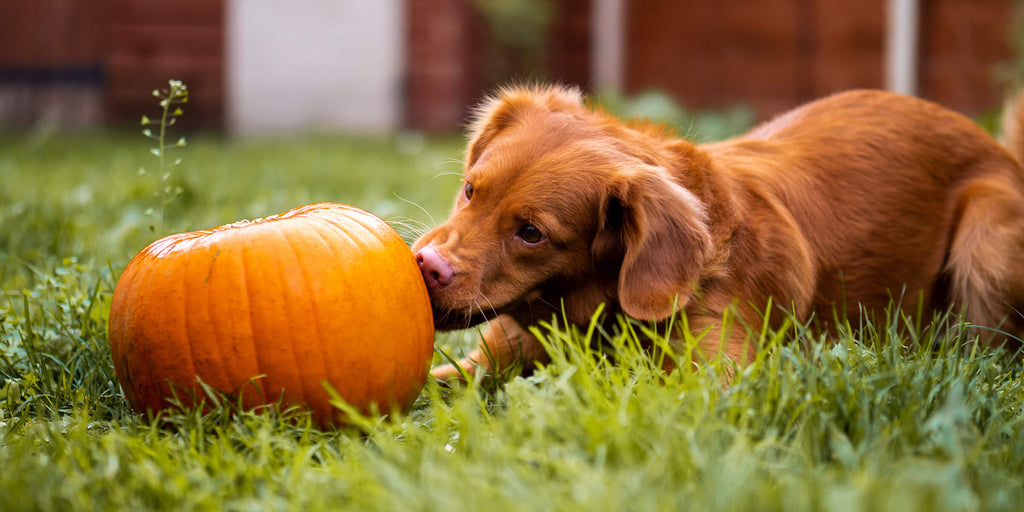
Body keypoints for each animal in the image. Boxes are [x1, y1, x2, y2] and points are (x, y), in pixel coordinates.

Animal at [409, 84, 1024, 380]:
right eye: (471, 191)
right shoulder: (486, 360)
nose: (427, 266)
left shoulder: (713, 381)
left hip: (986, 239)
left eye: (532, 233)